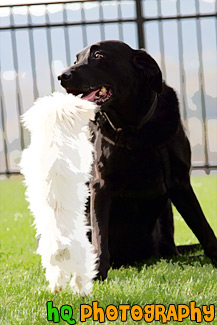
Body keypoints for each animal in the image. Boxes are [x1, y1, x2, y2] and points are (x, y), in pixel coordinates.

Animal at [19, 91, 98, 294]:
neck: (52, 135)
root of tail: (60, 245)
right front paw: (87, 132)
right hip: (83, 253)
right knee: (80, 276)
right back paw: (83, 292)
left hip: (48, 258)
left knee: (56, 275)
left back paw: (55, 288)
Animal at [58, 39, 217, 278]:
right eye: (77, 59)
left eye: (98, 56)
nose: (62, 76)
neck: (133, 128)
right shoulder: (101, 185)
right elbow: (100, 238)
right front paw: (98, 274)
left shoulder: (179, 182)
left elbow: (204, 229)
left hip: (166, 213)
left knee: (171, 251)